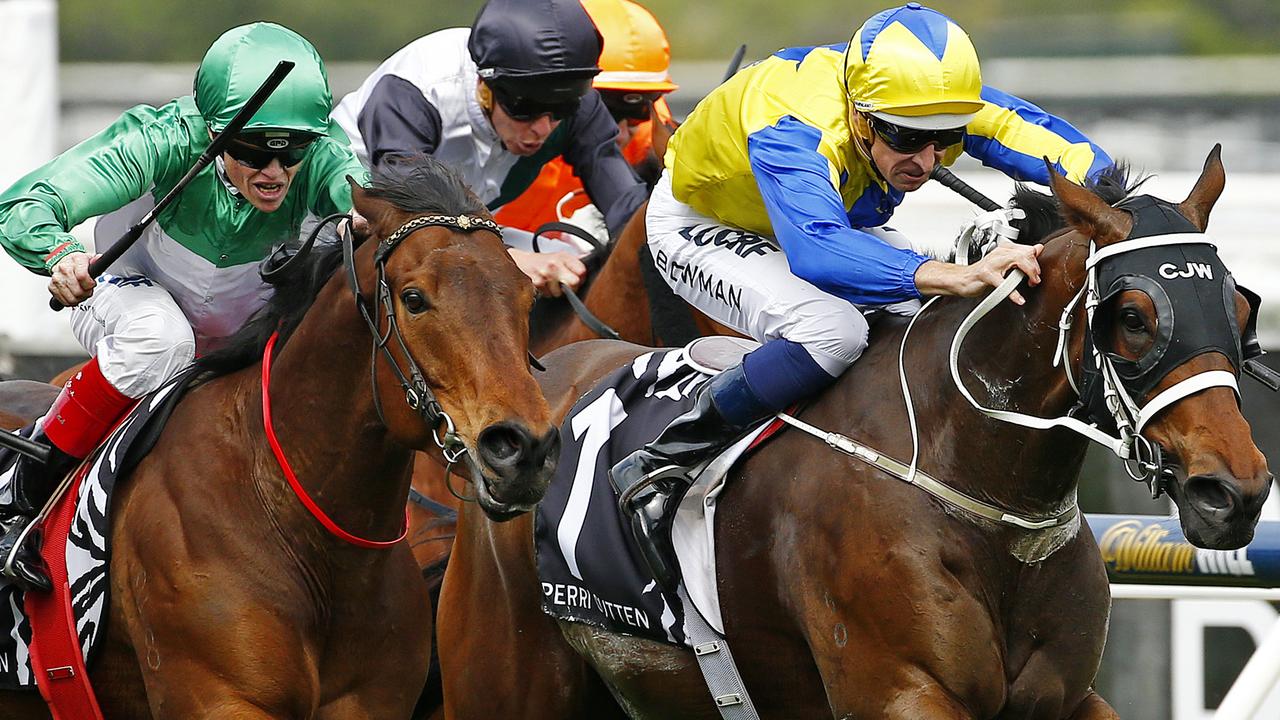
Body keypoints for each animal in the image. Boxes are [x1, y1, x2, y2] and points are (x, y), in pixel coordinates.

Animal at [437, 148, 1269, 712]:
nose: (1234, 491)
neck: (971, 480)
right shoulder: (900, 690)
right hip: (504, 674)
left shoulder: (1068, 699)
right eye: (1133, 316)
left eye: (1241, 305)